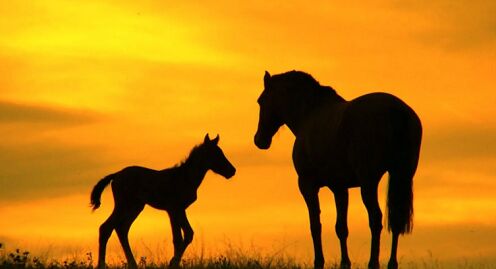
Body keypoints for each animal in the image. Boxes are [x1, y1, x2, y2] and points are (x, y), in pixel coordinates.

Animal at [89, 134, 236, 268]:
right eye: (216, 154)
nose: (232, 171)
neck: (185, 177)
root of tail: (116, 175)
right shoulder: (174, 208)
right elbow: (182, 236)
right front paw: (173, 263)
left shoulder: (176, 210)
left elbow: (184, 235)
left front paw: (173, 263)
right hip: (123, 204)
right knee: (106, 227)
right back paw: (102, 265)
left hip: (135, 206)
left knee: (121, 228)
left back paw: (132, 264)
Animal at [256, 70, 422, 268]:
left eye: (261, 101)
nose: (259, 140)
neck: (309, 115)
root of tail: (397, 112)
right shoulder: (340, 187)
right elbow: (341, 227)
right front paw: (345, 263)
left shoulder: (307, 185)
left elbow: (315, 225)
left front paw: (319, 262)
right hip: (402, 174)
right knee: (396, 219)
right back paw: (391, 264)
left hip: (369, 181)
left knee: (375, 219)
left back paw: (373, 263)